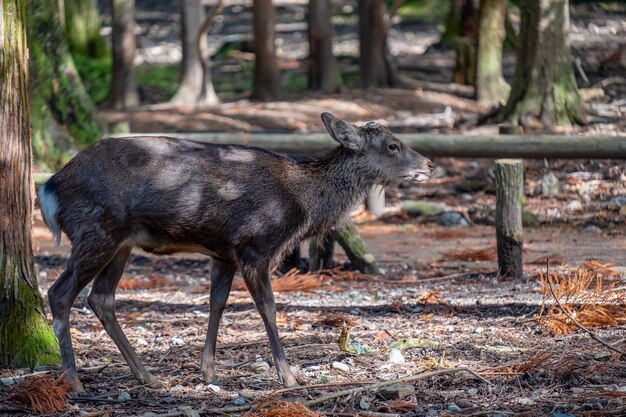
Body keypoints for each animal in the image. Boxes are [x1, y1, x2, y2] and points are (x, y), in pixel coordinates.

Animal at [37, 113, 428, 390]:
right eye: (393, 145)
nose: (429, 164)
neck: (303, 204)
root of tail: (49, 187)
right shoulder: (255, 246)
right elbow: (268, 308)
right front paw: (288, 376)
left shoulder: (223, 252)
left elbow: (217, 303)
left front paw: (209, 372)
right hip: (95, 231)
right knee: (59, 293)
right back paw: (72, 379)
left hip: (120, 243)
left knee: (101, 298)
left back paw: (148, 377)